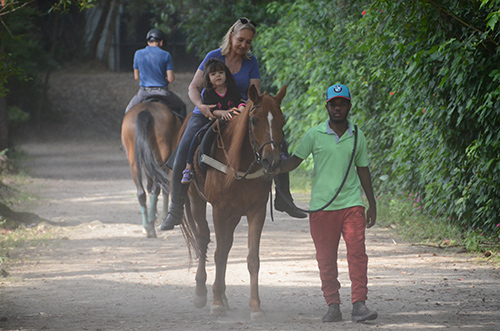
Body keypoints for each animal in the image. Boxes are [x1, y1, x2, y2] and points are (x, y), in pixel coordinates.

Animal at [121, 102, 182, 239]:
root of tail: (146, 110)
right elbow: (165, 188)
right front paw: (163, 217)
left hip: (134, 162)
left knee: (141, 192)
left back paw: (147, 227)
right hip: (161, 160)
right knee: (157, 188)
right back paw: (152, 226)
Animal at [182, 84, 288, 320]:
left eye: (282, 120)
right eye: (254, 120)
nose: (271, 160)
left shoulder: (256, 212)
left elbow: (252, 259)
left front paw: (255, 306)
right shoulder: (219, 210)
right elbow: (219, 254)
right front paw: (215, 304)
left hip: (234, 214)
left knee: (226, 244)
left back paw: (222, 296)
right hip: (196, 200)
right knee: (204, 239)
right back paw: (202, 292)